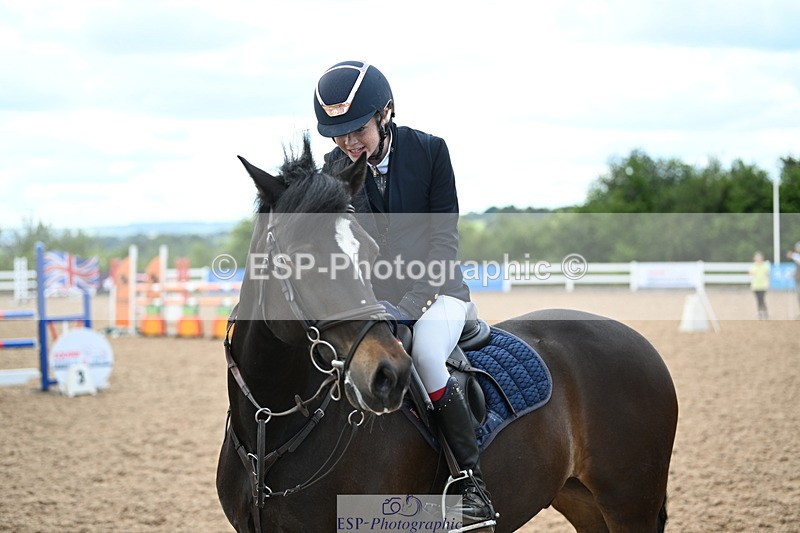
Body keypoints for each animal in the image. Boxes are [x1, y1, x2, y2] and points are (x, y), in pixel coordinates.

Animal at [216, 138, 679, 533]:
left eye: (367, 251)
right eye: (300, 256)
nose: (387, 375)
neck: (271, 425)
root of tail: (639, 342)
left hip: (629, 503)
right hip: (583, 501)